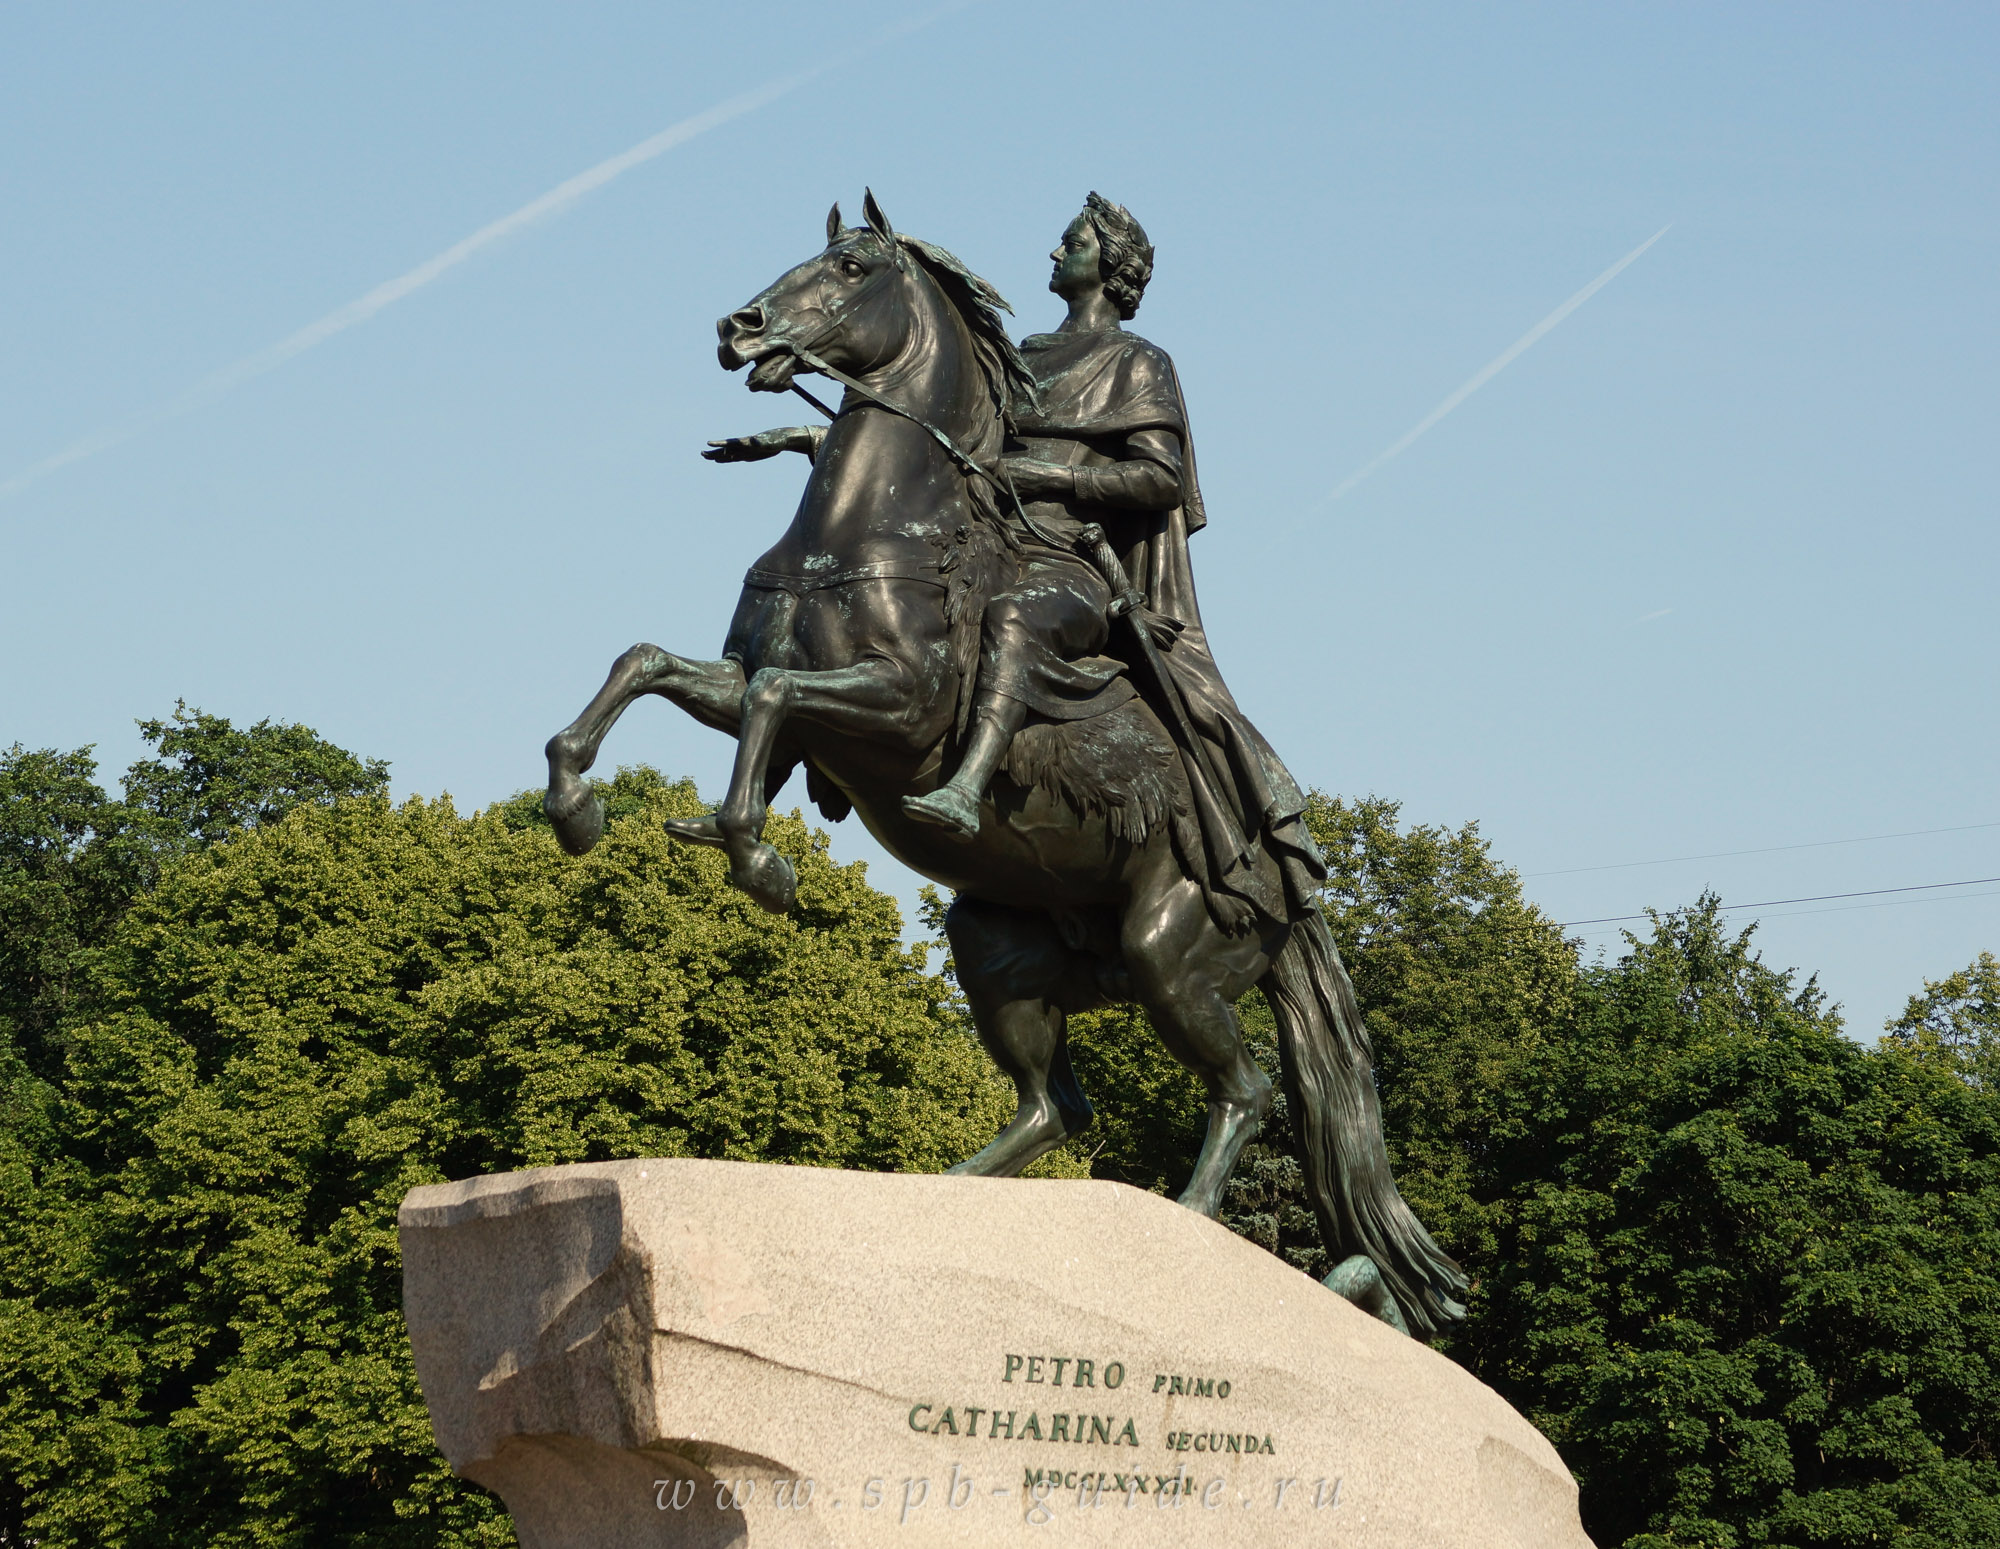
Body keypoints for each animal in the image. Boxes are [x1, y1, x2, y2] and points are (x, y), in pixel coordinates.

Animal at [540, 191, 1464, 1336]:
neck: (880, 528)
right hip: (996, 949)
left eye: (851, 266)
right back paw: (949, 1191)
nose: (739, 328)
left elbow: (771, 701)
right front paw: (577, 804)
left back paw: (1188, 1224)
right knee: (1051, 1106)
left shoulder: (892, 713)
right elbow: (648, 664)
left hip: (1170, 949)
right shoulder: (753, 685)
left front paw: (757, 856)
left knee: (1241, 1090)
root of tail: (1292, 882)